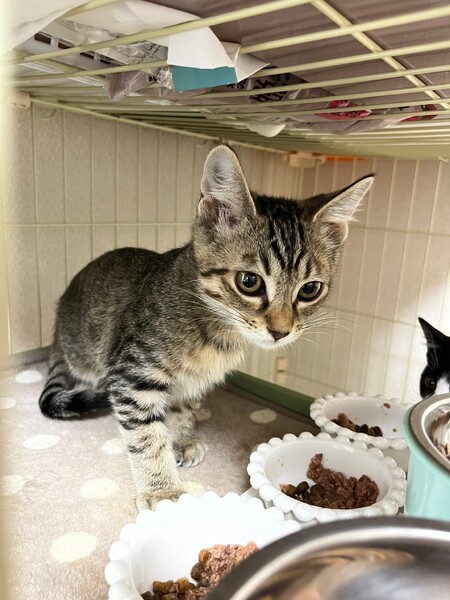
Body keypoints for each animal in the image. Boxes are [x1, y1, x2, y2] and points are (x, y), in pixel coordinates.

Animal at [39, 145, 373, 510]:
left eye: (310, 289)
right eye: (249, 282)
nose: (281, 331)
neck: (216, 331)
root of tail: (56, 326)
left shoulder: (188, 384)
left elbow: (180, 409)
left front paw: (181, 439)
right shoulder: (132, 373)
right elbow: (146, 435)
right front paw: (162, 489)